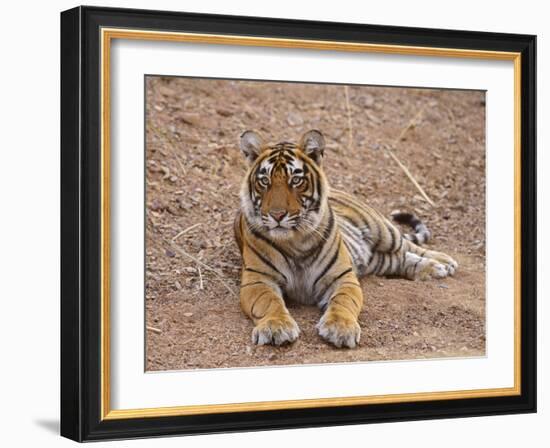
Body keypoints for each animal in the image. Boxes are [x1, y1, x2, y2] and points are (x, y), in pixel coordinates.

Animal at [235, 130, 460, 350]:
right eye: (265, 181)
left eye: (296, 181)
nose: (277, 215)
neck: (295, 240)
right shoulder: (258, 279)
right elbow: (268, 301)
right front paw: (276, 327)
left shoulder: (342, 276)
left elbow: (343, 301)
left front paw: (340, 328)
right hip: (379, 261)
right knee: (402, 259)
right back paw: (432, 268)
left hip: (383, 231)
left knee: (408, 245)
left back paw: (443, 262)